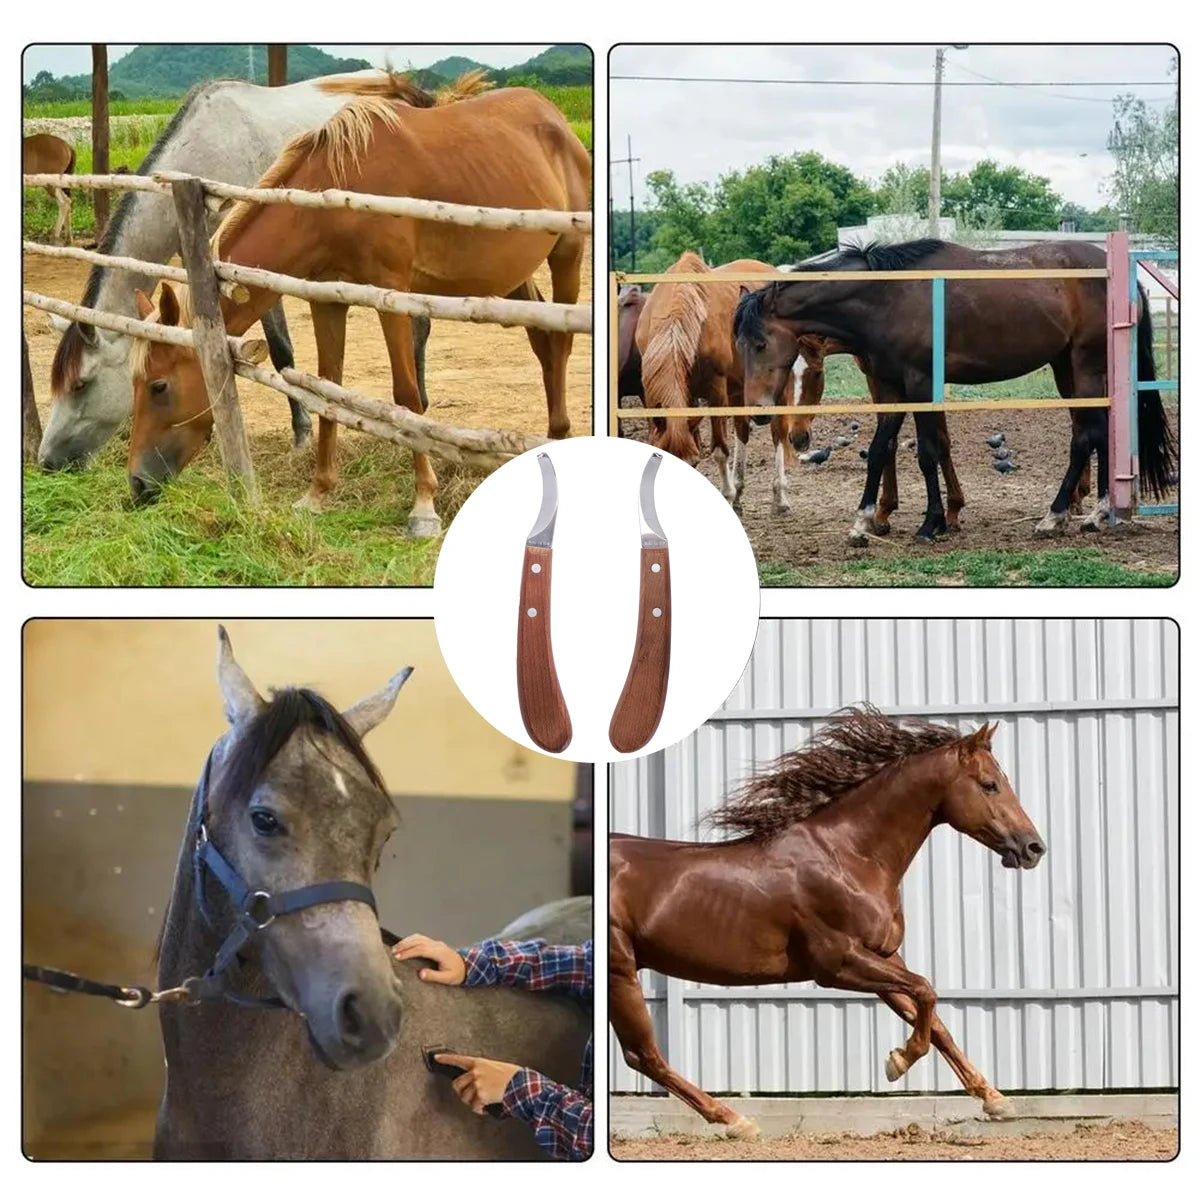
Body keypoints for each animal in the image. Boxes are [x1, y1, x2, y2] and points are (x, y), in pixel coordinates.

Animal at [127, 72, 589, 535]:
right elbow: (326, 388)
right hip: (514, 275)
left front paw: (423, 505)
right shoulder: (326, 300)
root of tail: (551, 115)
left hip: (567, 253)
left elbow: (407, 396)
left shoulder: (392, 294)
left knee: (561, 345)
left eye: (159, 386)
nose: (137, 483)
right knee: (543, 342)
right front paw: (317, 493)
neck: (331, 197)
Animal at [609, 706, 1046, 1137]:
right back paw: (735, 1121)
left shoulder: (883, 956)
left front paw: (995, 1100)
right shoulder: (837, 963)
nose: (1034, 847)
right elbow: (926, 991)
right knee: (643, 1055)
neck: (849, 856)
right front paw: (897, 1061)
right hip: (621, 970)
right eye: (990, 785)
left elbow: (933, 1018)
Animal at [636, 252, 799, 514]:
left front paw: (727, 495)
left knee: (779, 433)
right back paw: (740, 492)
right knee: (743, 431)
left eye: (691, 462)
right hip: (740, 389)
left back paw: (779, 496)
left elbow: (720, 450)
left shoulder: (716, 393)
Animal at [734, 238, 1176, 544]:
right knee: (1098, 433)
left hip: (1085, 368)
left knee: (1086, 436)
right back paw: (1089, 514)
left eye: (761, 343)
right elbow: (880, 449)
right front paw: (864, 521)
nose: (758, 411)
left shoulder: (920, 383)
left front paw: (932, 523)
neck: (889, 297)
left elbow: (928, 452)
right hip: (1067, 368)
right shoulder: (892, 387)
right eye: (739, 344)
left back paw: (1059, 516)